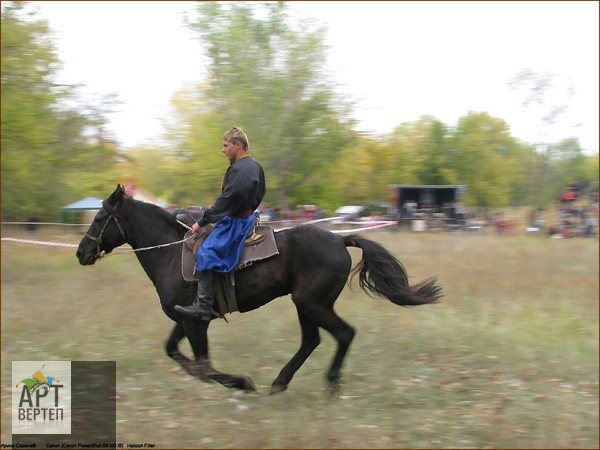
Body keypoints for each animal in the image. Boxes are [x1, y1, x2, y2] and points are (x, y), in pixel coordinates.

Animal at [76, 185, 440, 394]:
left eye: (99, 218)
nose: (81, 252)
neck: (170, 252)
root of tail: (340, 239)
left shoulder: (195, 322)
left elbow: (204, 366)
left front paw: (241, 383)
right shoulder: (186, 320)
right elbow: (177, 354)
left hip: (311, 303)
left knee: (343, 334)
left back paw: (330, 382)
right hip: (306, 304)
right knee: (312, 340)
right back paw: (280, 383)